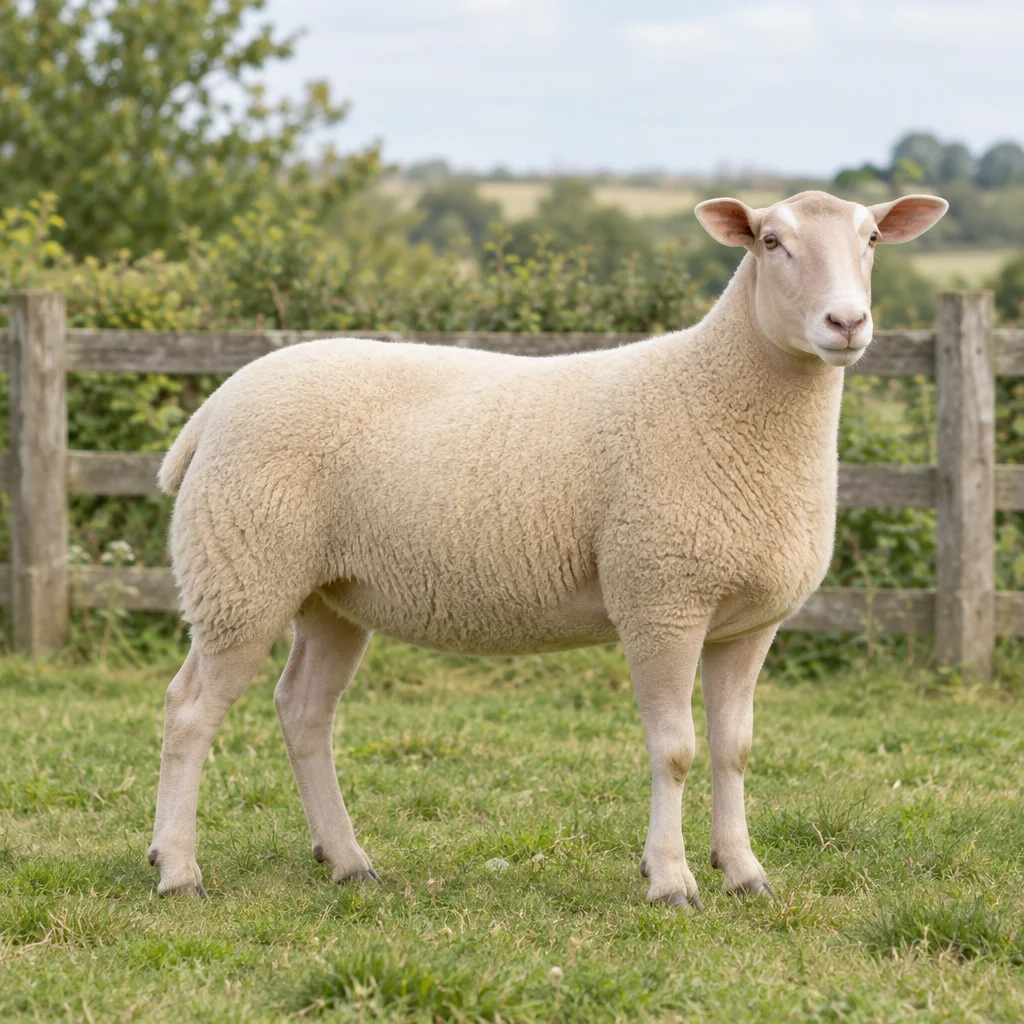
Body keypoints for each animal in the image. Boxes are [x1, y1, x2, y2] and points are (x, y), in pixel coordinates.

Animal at [148, 190, 947, 904]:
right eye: (771, 242)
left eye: (873, 239)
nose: (847, 321)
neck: (719, 394)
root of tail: (215, 406)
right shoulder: (660, 598)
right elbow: (676, 750)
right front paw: (670, 880)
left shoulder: (748, 621)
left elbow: (735, 749)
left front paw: (744, 872)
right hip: (241, 572)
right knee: (189, 710)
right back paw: (178, 870)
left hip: (330, 595)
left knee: (304, 710)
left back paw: (347, 861)